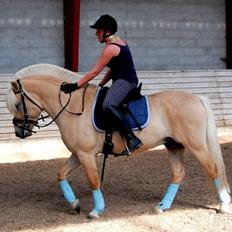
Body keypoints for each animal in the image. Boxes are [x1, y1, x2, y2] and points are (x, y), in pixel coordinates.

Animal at [5, 64, 230, 219]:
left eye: (17, 104)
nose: (19, 132)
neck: (73, 107)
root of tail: (196, 98)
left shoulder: (86, 154)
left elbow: (93, 180)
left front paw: (96, 210)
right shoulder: (77, 154)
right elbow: (61, 174)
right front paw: (75, 204)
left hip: (196, 146)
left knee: (213, 170)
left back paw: (223, 205)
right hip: (174, 145)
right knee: (178, 174)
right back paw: (162, 206)